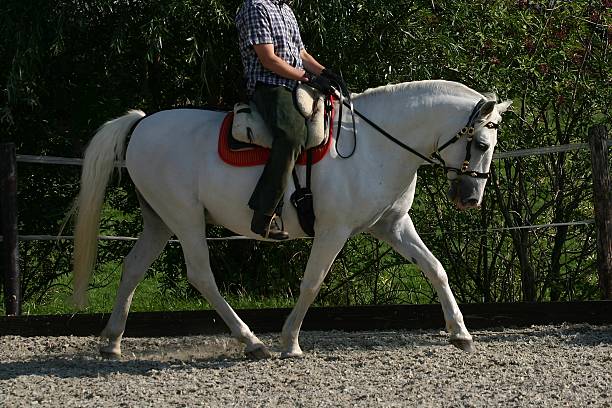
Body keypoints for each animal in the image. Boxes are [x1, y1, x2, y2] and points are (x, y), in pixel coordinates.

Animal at [71, 79, 512, 356]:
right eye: (482, 143)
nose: (470, 198)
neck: (375, 143)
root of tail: (142, 123)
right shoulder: (334, 231)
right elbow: (312, 282)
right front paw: (290, 342)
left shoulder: (392, 226)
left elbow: (435, 268)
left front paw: (461, 334)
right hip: (185, 219)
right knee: (200, 275)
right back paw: (252, 342)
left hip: (160, 221)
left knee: (133, 267)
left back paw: (111, 342)